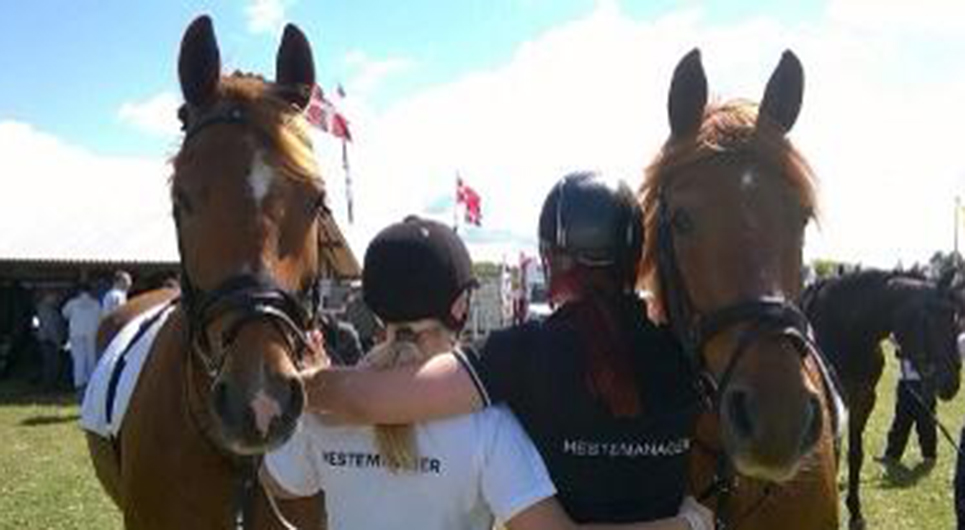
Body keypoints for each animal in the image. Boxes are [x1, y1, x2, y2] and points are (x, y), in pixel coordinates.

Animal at [800, 268, 964, 528]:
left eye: (954, 319)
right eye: (929, 319)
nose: (952, 383)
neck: (848, 332)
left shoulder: (863, 400)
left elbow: (855, 455)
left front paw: (855, 512)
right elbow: (833, 451)